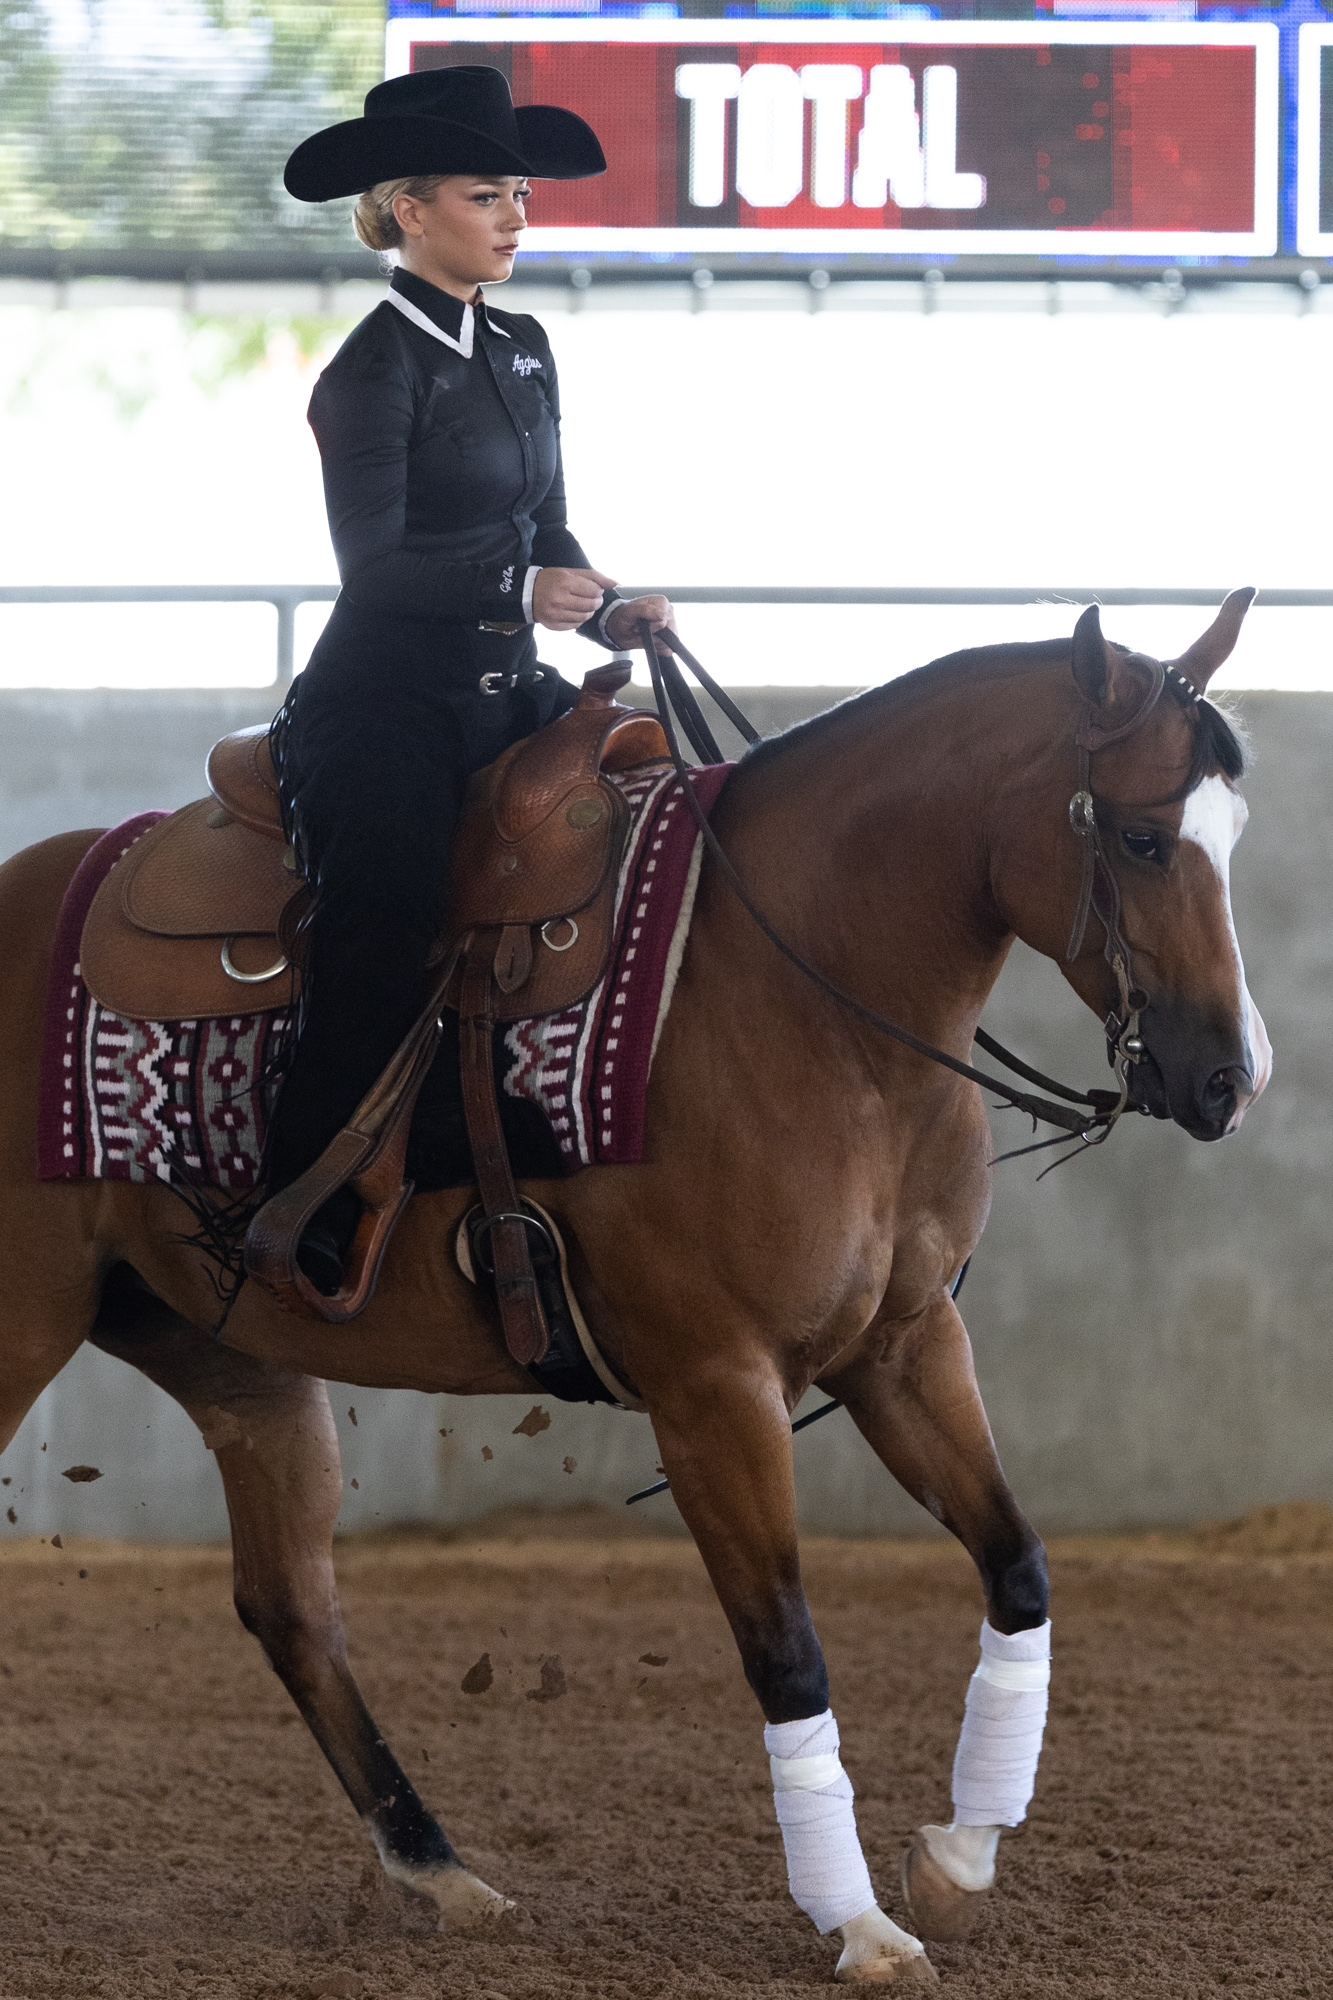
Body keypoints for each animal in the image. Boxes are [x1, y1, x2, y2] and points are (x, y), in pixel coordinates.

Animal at [0, 592, 1264, 1984]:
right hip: (22, 1323)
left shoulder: (904, 1345)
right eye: (1141, 835)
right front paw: (858, 1921)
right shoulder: (715, 1388)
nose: (1228, 1077)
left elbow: (1018, 1562)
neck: (806, 997)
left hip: (235, 1360)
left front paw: (960, 1852)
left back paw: (440, 1872)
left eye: (1234, 830)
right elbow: (786, 1648)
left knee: (292, 1608)